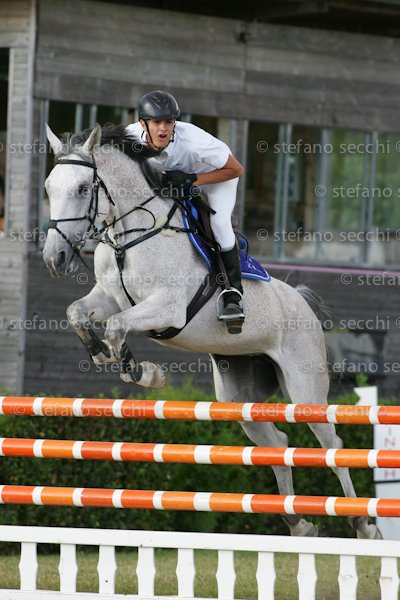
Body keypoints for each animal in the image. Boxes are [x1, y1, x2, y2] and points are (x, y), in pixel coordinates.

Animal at [42, 123, 382, 540]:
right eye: (49, 187)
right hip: (239, 395)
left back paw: (363, 524)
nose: (54, 258)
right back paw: (298, 522)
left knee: (332, 445)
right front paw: (99, 353)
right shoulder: (109, 297)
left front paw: (145, 374)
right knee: (278, 443)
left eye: (82, 189)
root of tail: (301, 301)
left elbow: (117, 327)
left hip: (305, 387)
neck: (130, 234)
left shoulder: (166, 308)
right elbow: (77, 313)